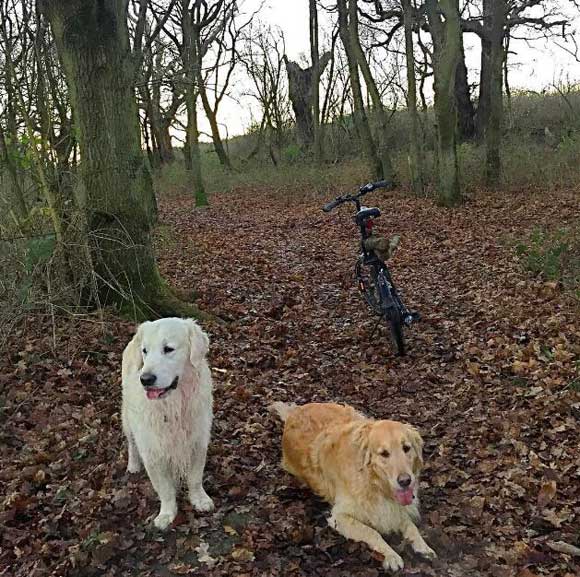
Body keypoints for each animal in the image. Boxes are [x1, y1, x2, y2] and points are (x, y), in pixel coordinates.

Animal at [121, 318, 214, 528]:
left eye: (168, 349)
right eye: (145, 351)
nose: (145, 379)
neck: (173, 406)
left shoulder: (198, 442)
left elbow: (195, 478)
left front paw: (199, 499)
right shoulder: (152, 452)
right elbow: (164, 489)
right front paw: (166, 514)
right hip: (128, 419)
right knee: (131, 442)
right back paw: (133, 464)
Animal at [272, 400, 436, 572]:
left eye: (406, 448)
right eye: (384, 453)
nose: (405, 481)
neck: (373, 481)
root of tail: (295, 411)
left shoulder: (395, 508)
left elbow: (410, 525)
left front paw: (423, 547)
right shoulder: (339, 517)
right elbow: (371, 531)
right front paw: (391, 555)